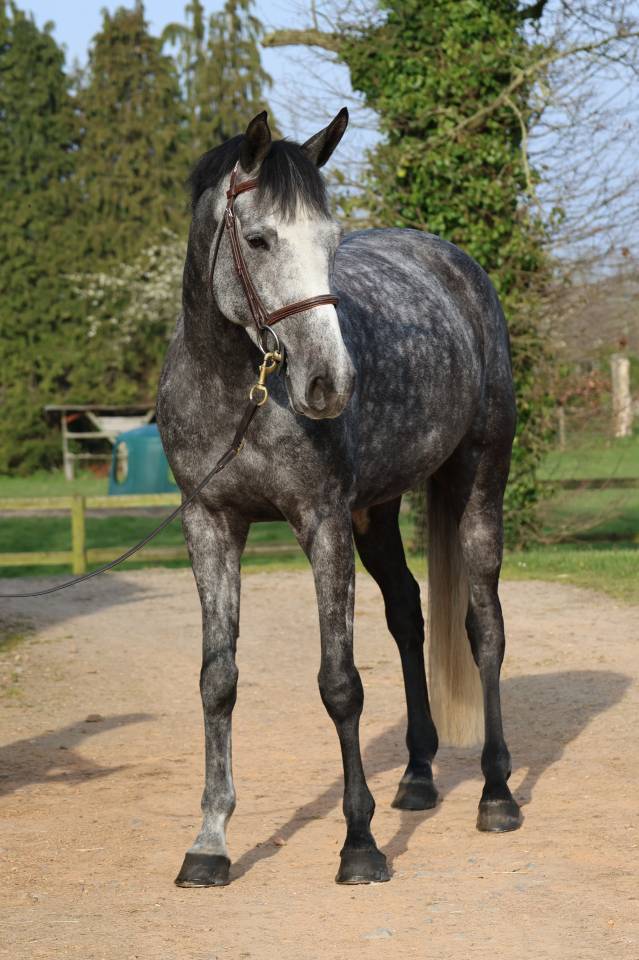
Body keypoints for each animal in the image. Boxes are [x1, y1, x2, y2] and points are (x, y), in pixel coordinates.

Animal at [157, 107, 521, 888]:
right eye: (258, 239)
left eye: (330, 241)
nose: (330, 383)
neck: (239, 391)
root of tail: (454, 263)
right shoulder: (210, 524)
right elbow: (217, 678)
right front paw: (209, 842)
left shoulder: (320, 521)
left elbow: (339, 683)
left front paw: (360, 843)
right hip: (374, 514)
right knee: (408, 614)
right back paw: (417, 776)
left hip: (477, 483)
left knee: (484, 629)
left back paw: (497, 793)